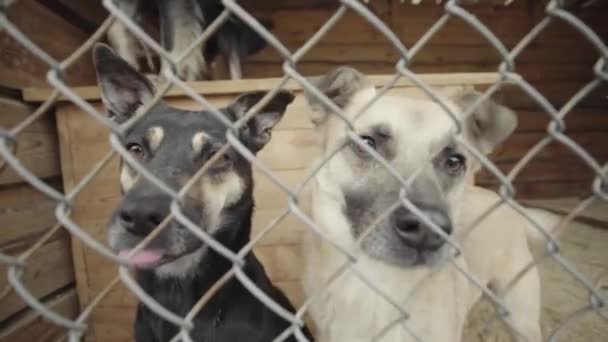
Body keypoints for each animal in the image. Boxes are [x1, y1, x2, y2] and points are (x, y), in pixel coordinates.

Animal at [300, 67, 556, 342]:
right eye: (367, 144)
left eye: (454, 161)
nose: (427, 230)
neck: (378, 284)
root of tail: (508, 204)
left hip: (520, 317)